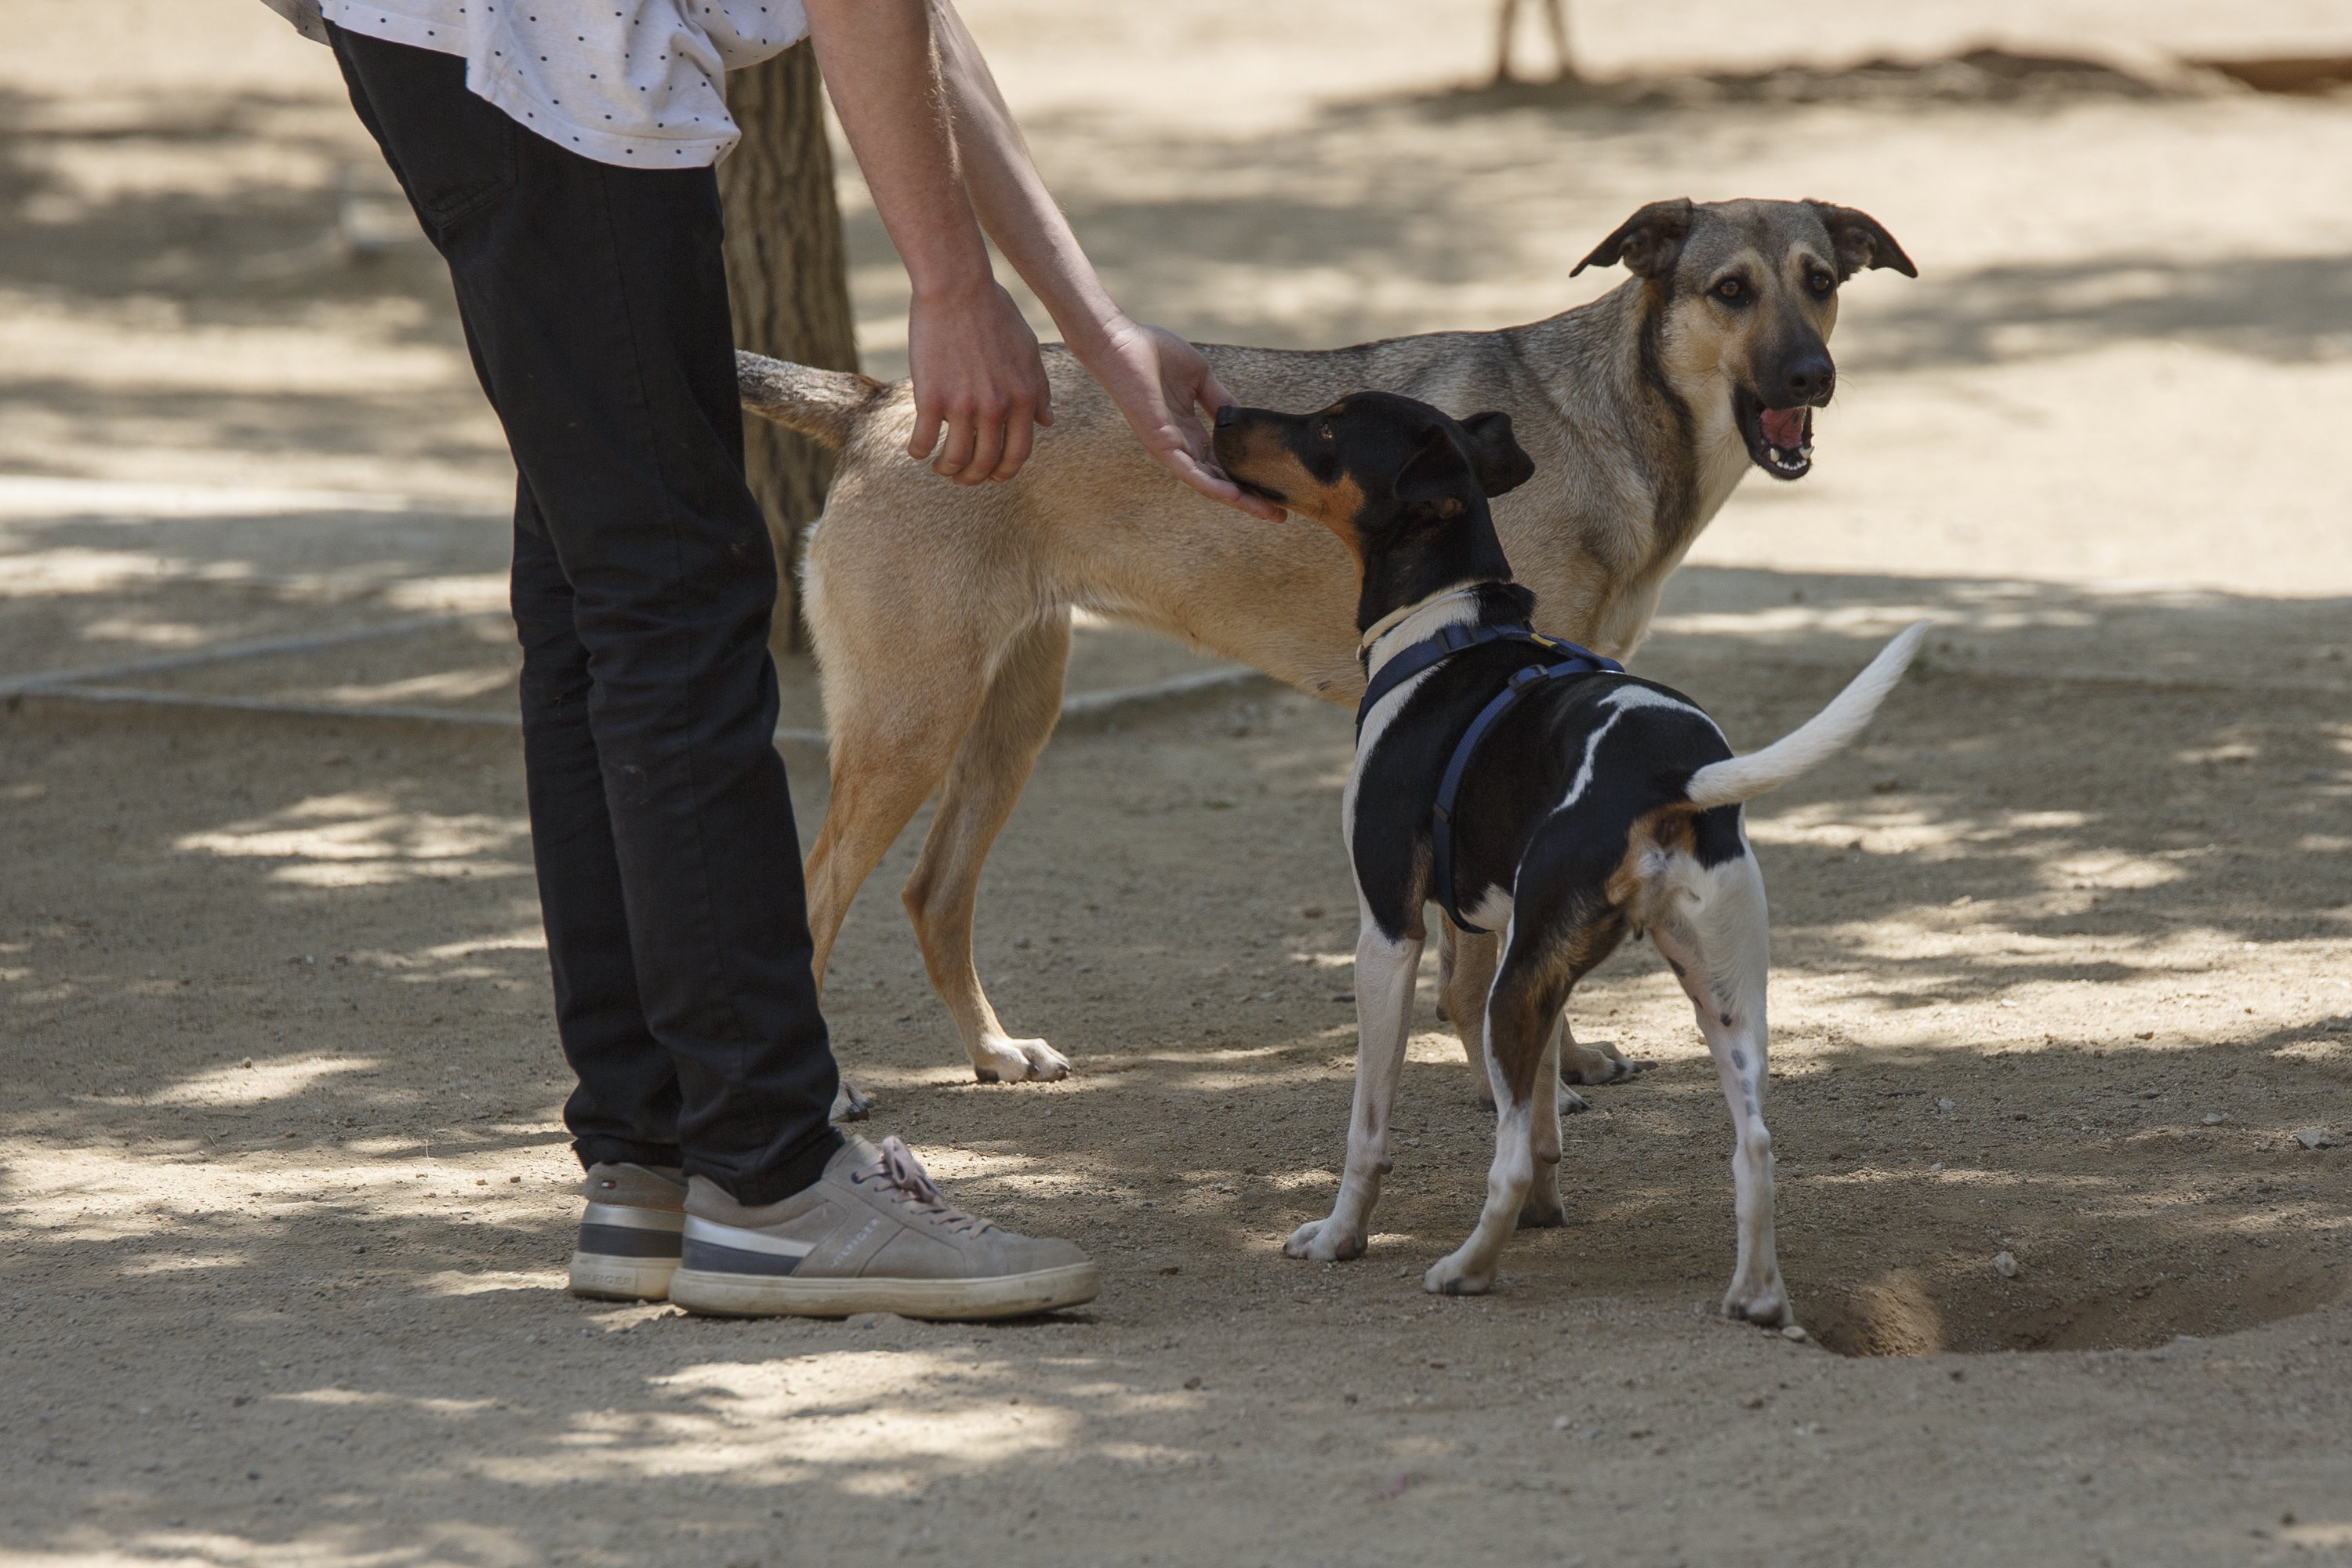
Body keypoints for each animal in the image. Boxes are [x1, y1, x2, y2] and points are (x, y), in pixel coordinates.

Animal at [739, 196, 1910, 1105]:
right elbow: (1480, 970)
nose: (1811, 376)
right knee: (814, 900)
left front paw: (1562, 1061)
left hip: (1009, 720)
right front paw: (1511, 1068)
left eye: (1818, 280)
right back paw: (833, 1095)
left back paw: (993, 1052)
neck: (1608, 422)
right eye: (1730, 290)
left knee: (933, 894)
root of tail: (881, 402)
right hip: (913, 727)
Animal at [1214, 392, 1929, 1326]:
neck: (1446, 627)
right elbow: (1551, 1118)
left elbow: (1372, 1127)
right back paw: (1757, 1298)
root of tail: (1669, 771)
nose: (1221, 411)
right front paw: (1548, 1211)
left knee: (1509, 1157)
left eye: (1329, 427)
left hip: (1518, 991)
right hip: (1718, 995)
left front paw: (1340, 1235)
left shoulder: (1390, 933)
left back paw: (1466, 1268)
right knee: (1756, 1149)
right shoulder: (1527, 947)